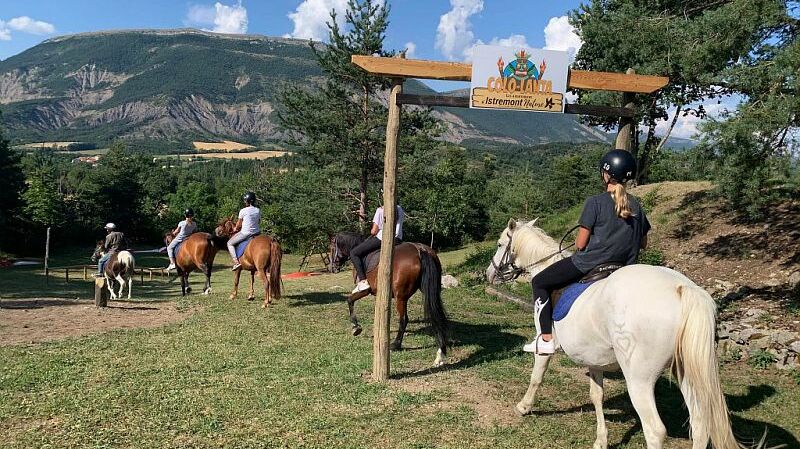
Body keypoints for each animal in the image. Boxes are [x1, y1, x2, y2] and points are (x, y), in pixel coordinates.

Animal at [328, 233, 446, 366]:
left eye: (331, 248)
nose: (332, 268)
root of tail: (420, 250)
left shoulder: (366, 291)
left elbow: (349, 300)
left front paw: (356, 327)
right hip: (431, 291)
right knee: (436, 315)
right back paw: (440, 354)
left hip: (401, 297)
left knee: (404, 320)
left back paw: (396, 344)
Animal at [488, 220, 744, 448]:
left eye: (500, 244)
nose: (488, 273)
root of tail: (682, 288)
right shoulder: (594, 358)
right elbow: (596, 395)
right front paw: (601, 440)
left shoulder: (546, 344)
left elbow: (536, 377)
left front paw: (524, 407)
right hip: (685, 372)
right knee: (700, 424)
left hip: (639, 379)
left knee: (655, 431)